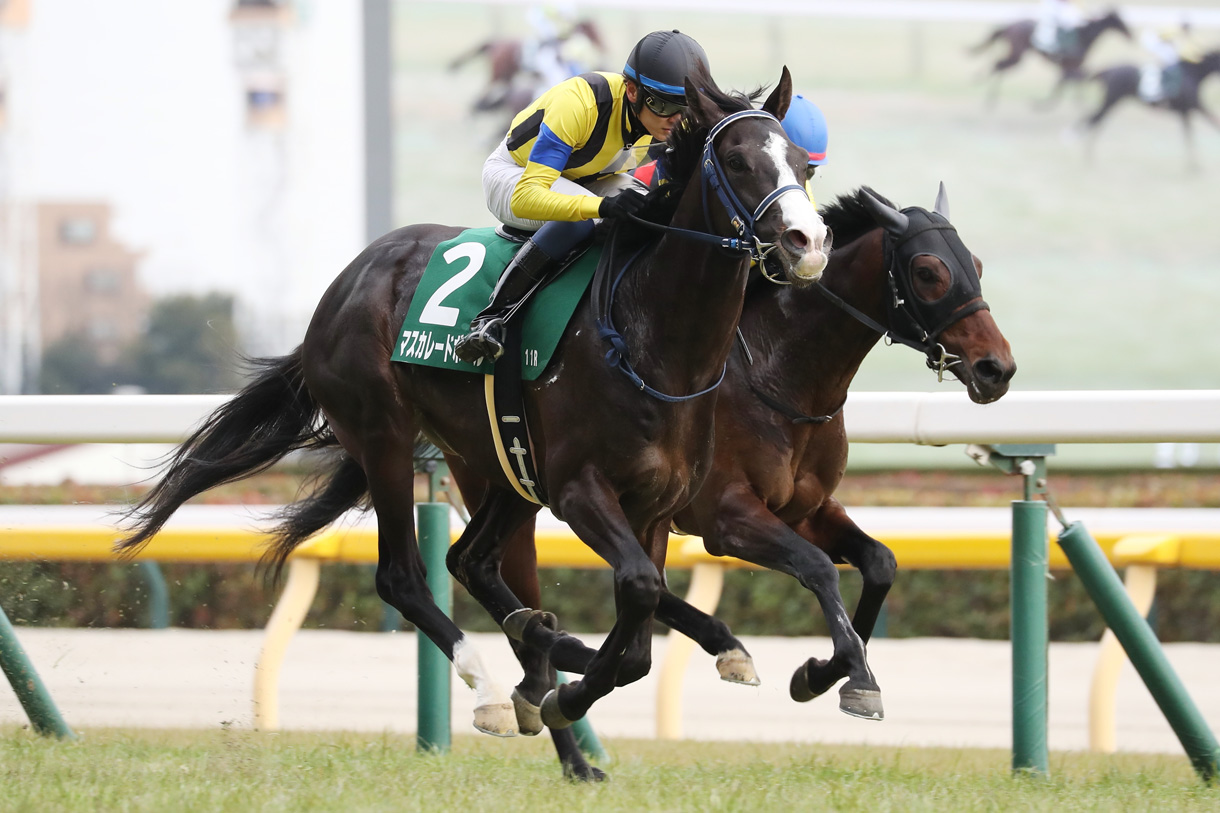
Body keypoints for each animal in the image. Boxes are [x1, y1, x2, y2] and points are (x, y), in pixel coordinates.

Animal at [117, 68, 828, 781]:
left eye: (801, 164)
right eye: (736, 161)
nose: (808, 244)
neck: (652, 340)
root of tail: (344, 284)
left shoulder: (654, 506)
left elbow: (640, 632)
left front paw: (574, 672)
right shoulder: (579, 490)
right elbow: (638, 591)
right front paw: (565, 694)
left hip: (506, 463)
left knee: (470, 559)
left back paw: (542, 650)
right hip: (386, 434)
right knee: (403, 574)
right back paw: (495, 684)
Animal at [971, 9, 1131, 109]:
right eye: (1119, 21)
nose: (1130, 35)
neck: (1083, 36)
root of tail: (1010, 25)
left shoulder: (1070, 67)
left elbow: (1069, 82)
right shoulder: (1070, 66)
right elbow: (1066, 82)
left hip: (1016, 55)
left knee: (998, 65)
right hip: (1017, 55)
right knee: (998, 65)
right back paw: (986, 93)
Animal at [1082, 51, 1220, 170]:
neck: (1191, 74)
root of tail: (1108, 70)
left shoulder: (1186, 111)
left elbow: (1190, 135)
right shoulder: (1194, 107)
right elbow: (1208, 127)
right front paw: (1195, 168)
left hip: (1111, 101)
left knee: (1092, 118)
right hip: (1112, 99)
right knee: (1095, 119)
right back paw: (1088, 158)